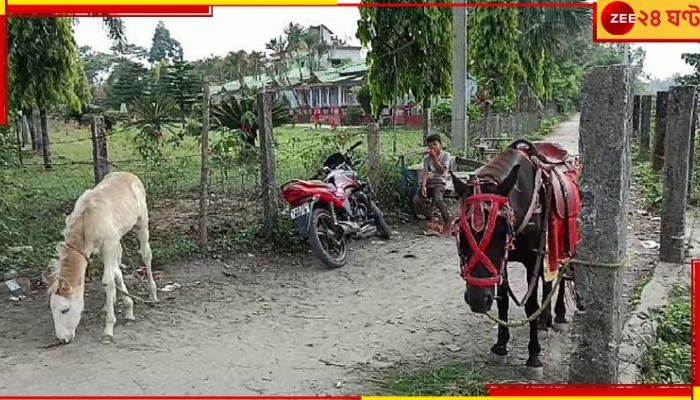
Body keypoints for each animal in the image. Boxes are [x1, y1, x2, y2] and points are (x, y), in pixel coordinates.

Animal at [41, 170, 159, 342]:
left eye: (65, 310)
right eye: (52, 309)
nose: (62, 339)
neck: (87, 221)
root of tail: (129, 174)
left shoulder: (108, 245)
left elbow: (107, 281)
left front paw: (108, 328)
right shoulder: (101, 249)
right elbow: (116, 274)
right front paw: (127, 309)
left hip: (141, 223)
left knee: (146, 254)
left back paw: (153, 294)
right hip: (118, 238)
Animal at [452, 139, 584, 380]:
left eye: (502, 231)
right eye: (461, 233)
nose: (477, 300)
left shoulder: (532, 258)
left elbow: (530, 305)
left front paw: (534, 357)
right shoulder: (503, 262)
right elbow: (503, 300)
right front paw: (500, 346)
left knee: (561, 274)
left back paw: (559, 315)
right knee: (548, 279)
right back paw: (545, 320)